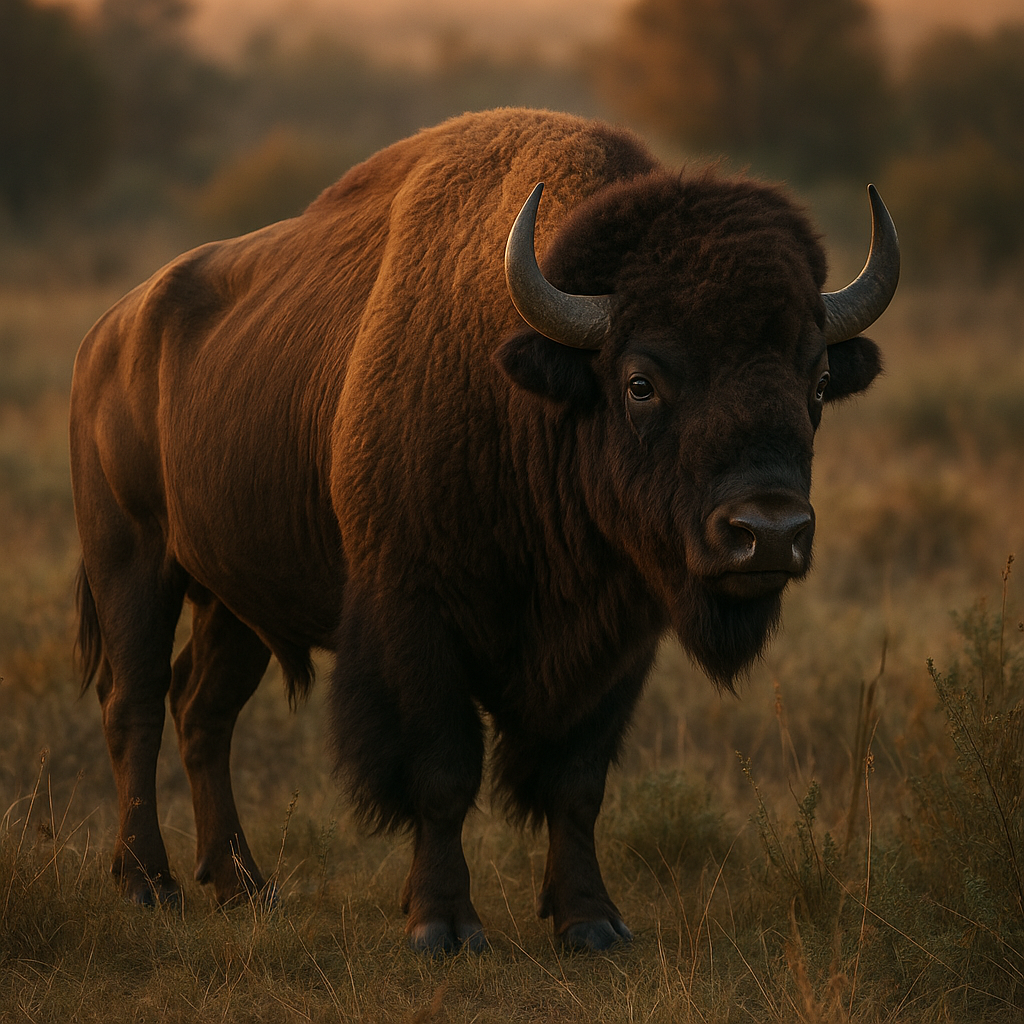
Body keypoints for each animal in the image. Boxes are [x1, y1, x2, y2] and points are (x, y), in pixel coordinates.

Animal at [70, 108, 898, 953]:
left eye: (816, 382)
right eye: (641, 382)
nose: (769, 531)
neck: (528, 399)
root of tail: (108, 335)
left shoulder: (619, 646)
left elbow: (576, 782)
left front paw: (592, 922)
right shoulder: (416, 624)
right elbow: (443, 772)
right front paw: (444, 924)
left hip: (232, 603)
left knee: (202, 712)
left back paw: (244, 886)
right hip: (131, 561)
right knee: (134, 705)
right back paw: (149, 884)